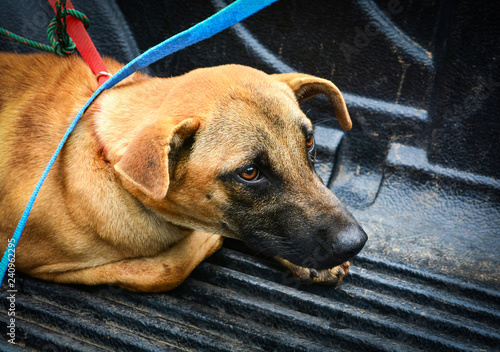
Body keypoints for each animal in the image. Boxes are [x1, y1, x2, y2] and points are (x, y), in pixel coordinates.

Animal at [0, 53, 368, 292]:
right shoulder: (37, 262)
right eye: (250, 172)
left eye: (308, 141)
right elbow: (169, 269)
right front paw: (208, 240)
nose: (356, 243)